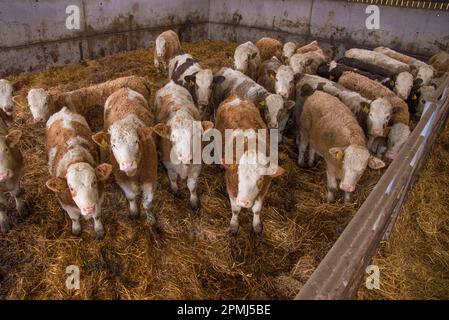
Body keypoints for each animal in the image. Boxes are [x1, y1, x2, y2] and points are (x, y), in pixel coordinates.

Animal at [45, 107, 112, 238]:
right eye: (71, 188)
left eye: (94, 182)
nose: (89, 209)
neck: (76, 158)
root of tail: (63, 110)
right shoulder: (66, 204)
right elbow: (74, 218)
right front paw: (76, 229)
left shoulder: (99, 198)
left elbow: (97, 216)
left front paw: (99, 230)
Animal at [92, 87, 158, 225]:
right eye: (113, 145)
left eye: (136, 141)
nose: (128, 164)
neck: (134, 175)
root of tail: (123, 89)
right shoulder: (122, 181)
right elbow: (131, 197)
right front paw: (134, 213)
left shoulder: (150, 180)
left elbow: (147, 204)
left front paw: (151, 220)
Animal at [153, 80, 213, 210]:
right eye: (173, 137)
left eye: (195, 135)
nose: (185, 156)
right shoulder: (168, 164)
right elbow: (173, 178)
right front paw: (175, 191)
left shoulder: (196, 166)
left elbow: (192, 186)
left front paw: (194, 202)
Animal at [215, 94, 286, 234]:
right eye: (237, 175)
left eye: (260, 179)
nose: (244, 202)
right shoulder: (230, 184)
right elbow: (235, 209)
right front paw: (234, 225)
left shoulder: (265, 186)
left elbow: (257, 209)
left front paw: (257, 226)